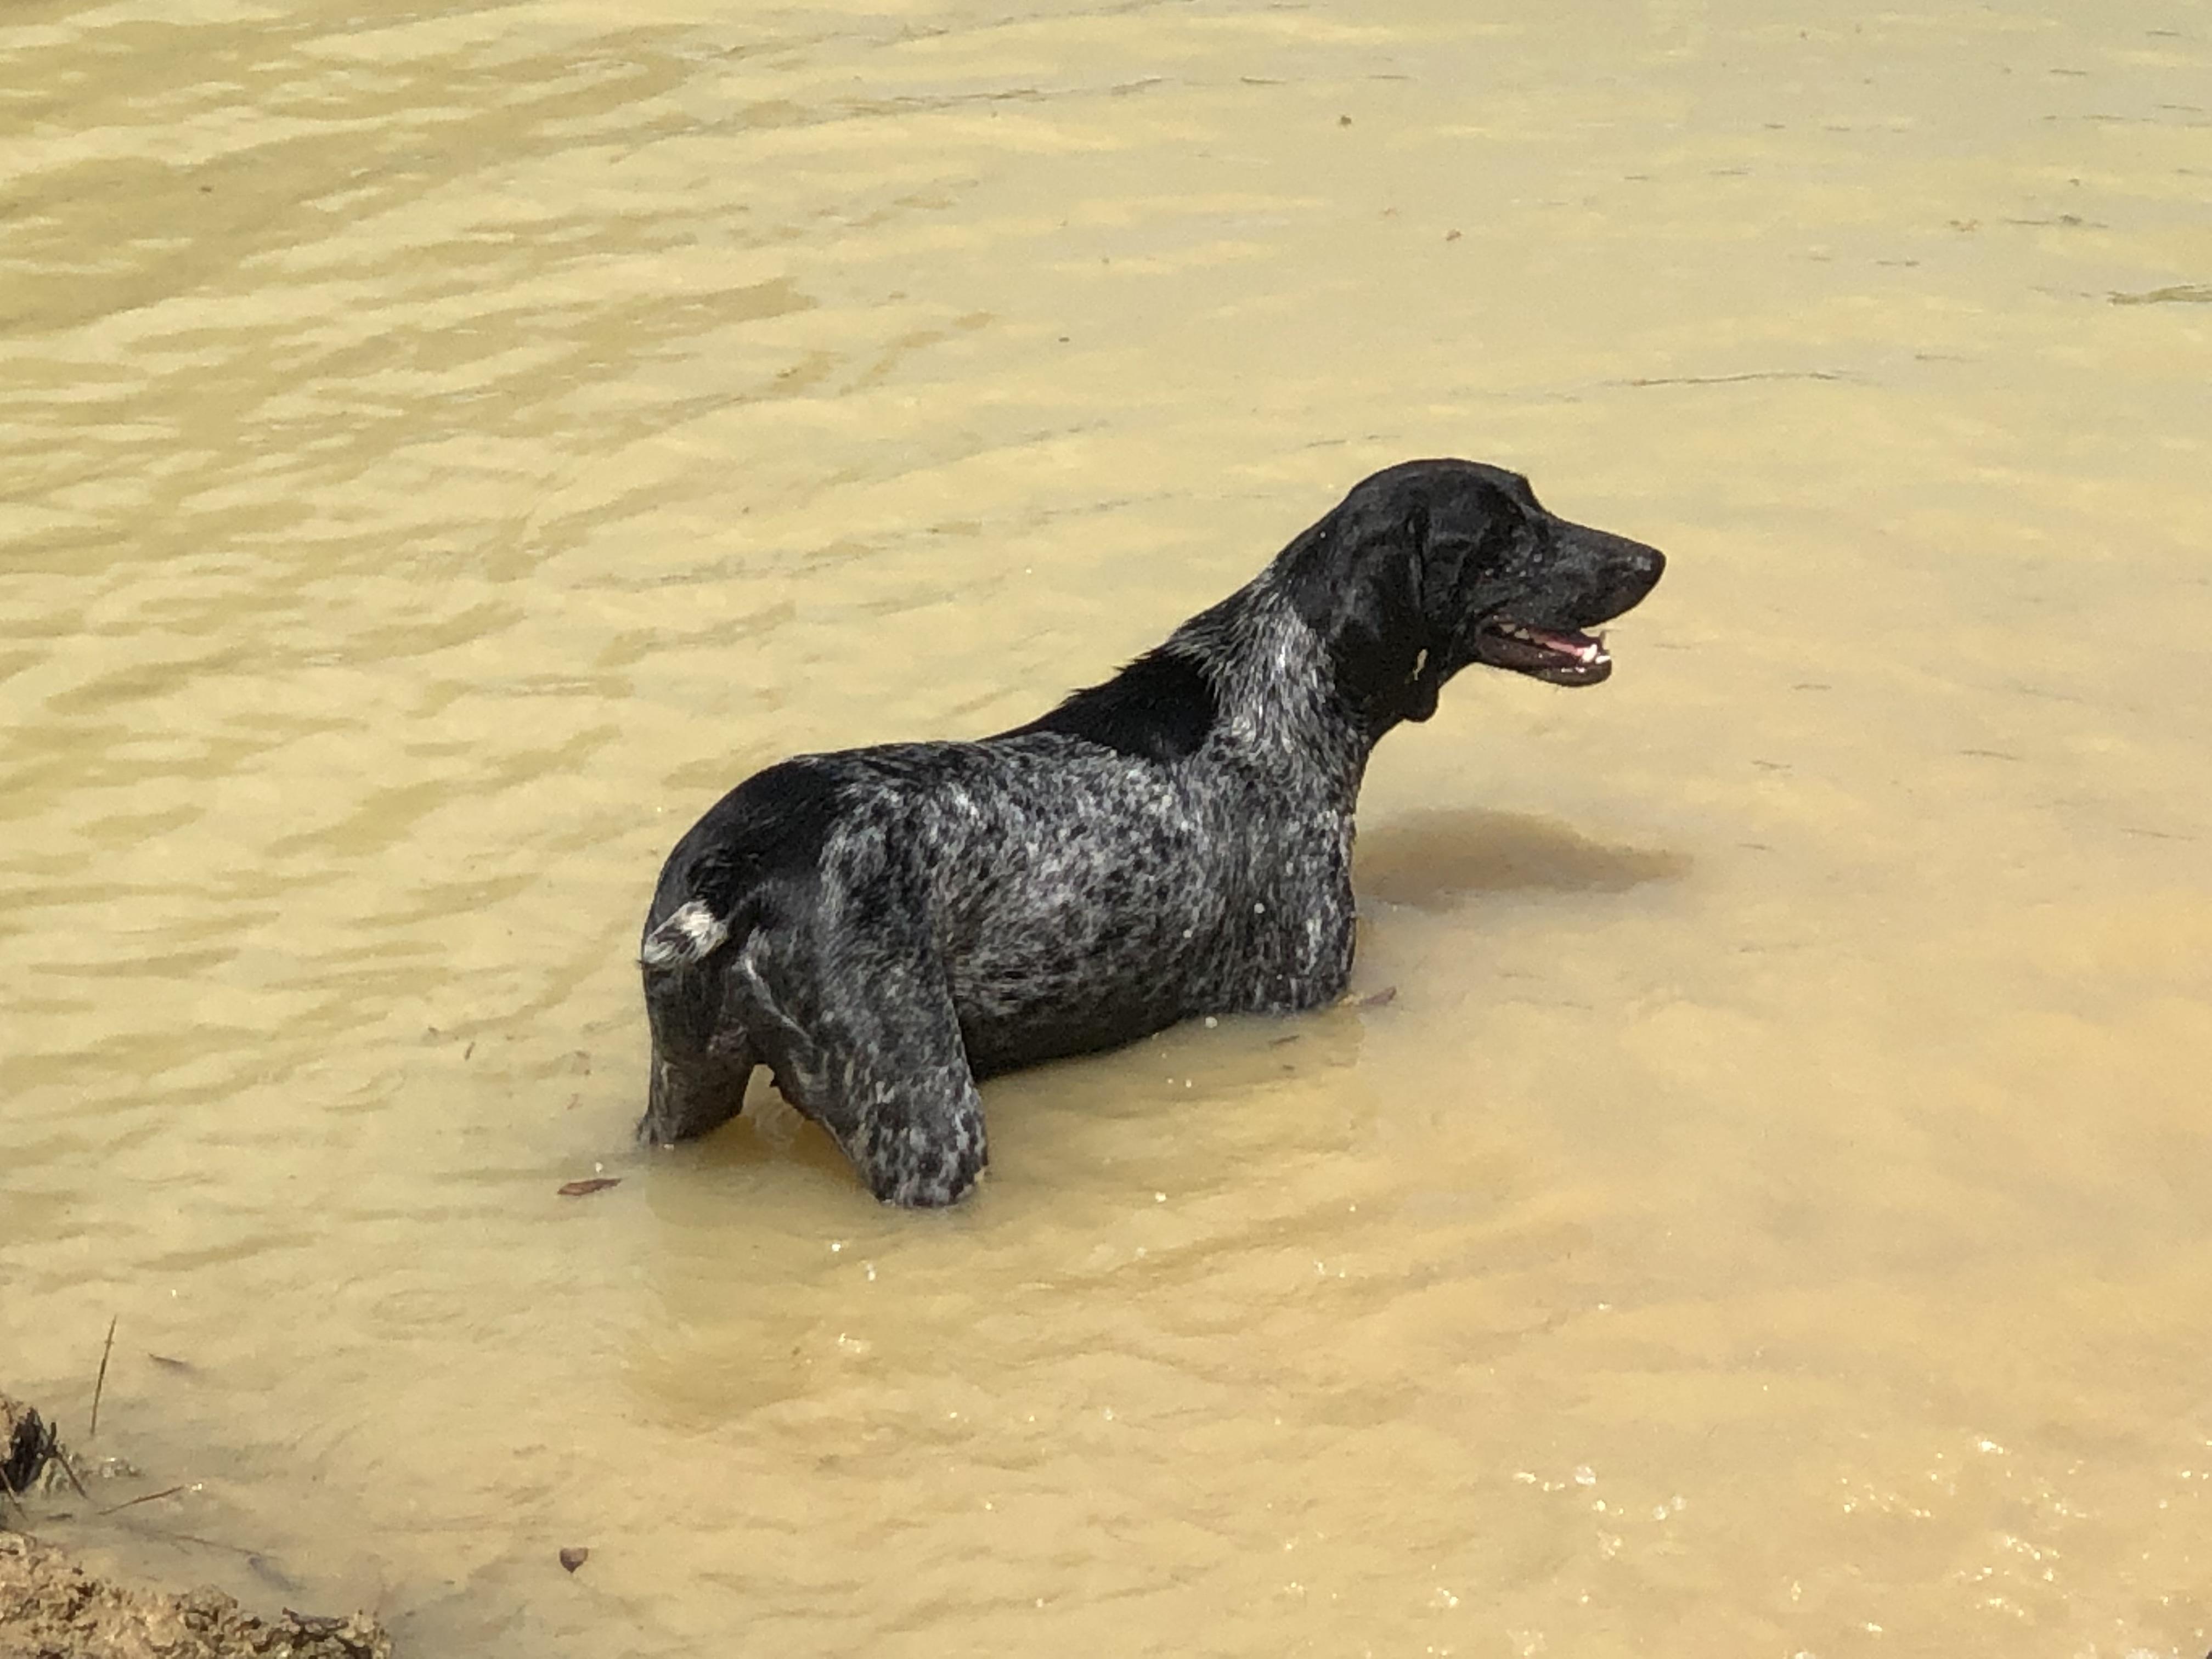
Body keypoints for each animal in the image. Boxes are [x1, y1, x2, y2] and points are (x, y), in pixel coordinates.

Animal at [637, 459, 1664, 1205]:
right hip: (928, 1126)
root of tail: (744, 858)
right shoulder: (1296, 993)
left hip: (683, 1094)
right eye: (1504, 536)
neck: (1278, 694)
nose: (1651, 559)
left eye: (1535, 507)